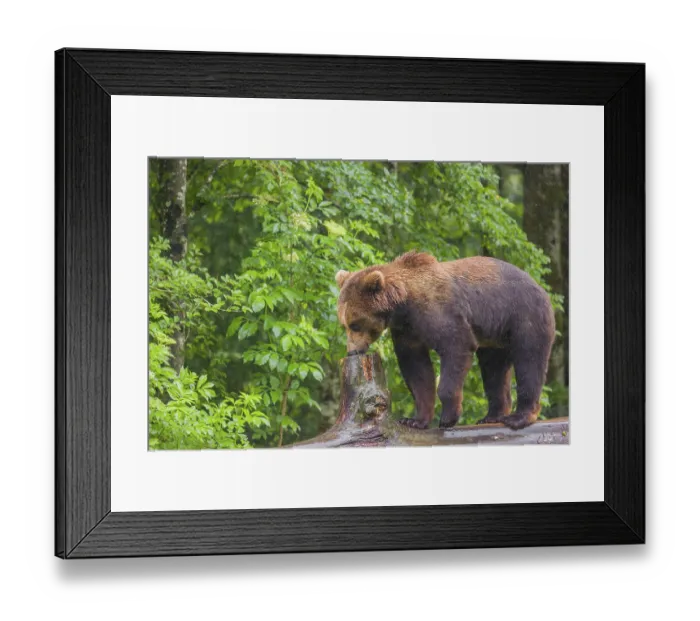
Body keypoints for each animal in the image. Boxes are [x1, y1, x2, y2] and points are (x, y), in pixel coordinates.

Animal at [335, 250, 555, 431]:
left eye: (355, 324)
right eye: (344, 324)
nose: (352, 351)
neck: (403, 306)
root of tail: (541, 287)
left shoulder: (439, 311)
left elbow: (456, 347)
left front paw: (448, 417)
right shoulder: (407, 331)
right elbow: (417, 371)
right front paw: (415, 420)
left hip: (523, 315)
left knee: (529, 359)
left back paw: (520, 417)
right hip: (495, 336)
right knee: (494, 370)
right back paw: (492, 416)